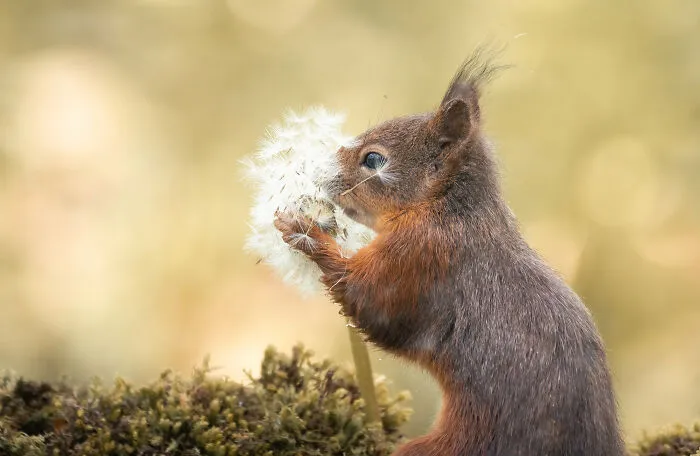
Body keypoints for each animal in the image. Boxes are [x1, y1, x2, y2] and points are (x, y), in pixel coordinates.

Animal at [274, 53, 625, 456]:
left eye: (374, 160)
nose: (319, 171)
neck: (448, 210)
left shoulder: (419, 259)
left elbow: (371, 303)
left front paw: (305, 232)